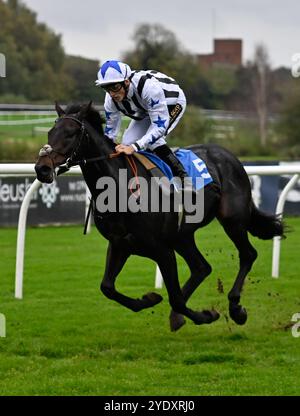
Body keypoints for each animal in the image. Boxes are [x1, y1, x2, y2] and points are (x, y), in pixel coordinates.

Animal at [34, 103, 284, 332]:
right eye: (50, 132)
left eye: (70, 133)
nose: (41, 169)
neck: (119, 187)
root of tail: (230, 156)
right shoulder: (120, 244)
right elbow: (107, 287)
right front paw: (149, 299)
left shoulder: (162, 249)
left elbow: (176, 298)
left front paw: (207, 315)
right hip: (183, 235)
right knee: (201, 267)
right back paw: (179, 316)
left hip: (232, 220)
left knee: (247, 254)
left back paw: (235, 308)